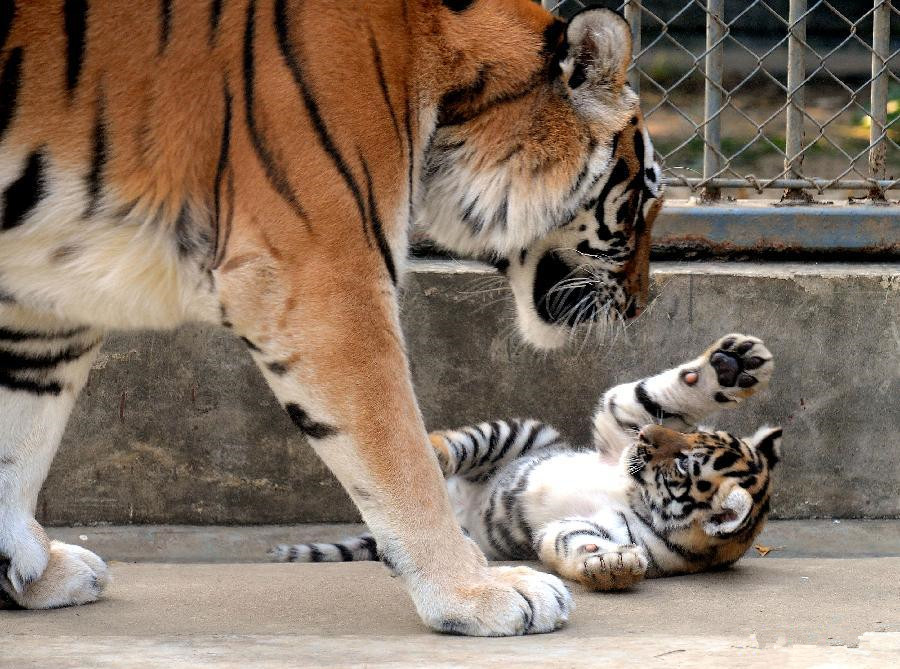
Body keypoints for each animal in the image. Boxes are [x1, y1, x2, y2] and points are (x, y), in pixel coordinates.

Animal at [0, 0, 663, 635]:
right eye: (647, 194)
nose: (642, 305)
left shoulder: (43, 308)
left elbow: (19, 443)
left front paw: (31, 576)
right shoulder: (327, 279)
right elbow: (403, 458)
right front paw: (478, 593)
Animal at [272, 333, 781, 592]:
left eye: (683, 463)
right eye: (691, 435)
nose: (647, 439)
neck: (633, 491)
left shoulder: (590, 526)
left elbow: (576, 541)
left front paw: (611, 565)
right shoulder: (620, 427)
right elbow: (643, 398)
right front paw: (733, 365)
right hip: (520, 434)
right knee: (457, 445)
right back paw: (431, 454)